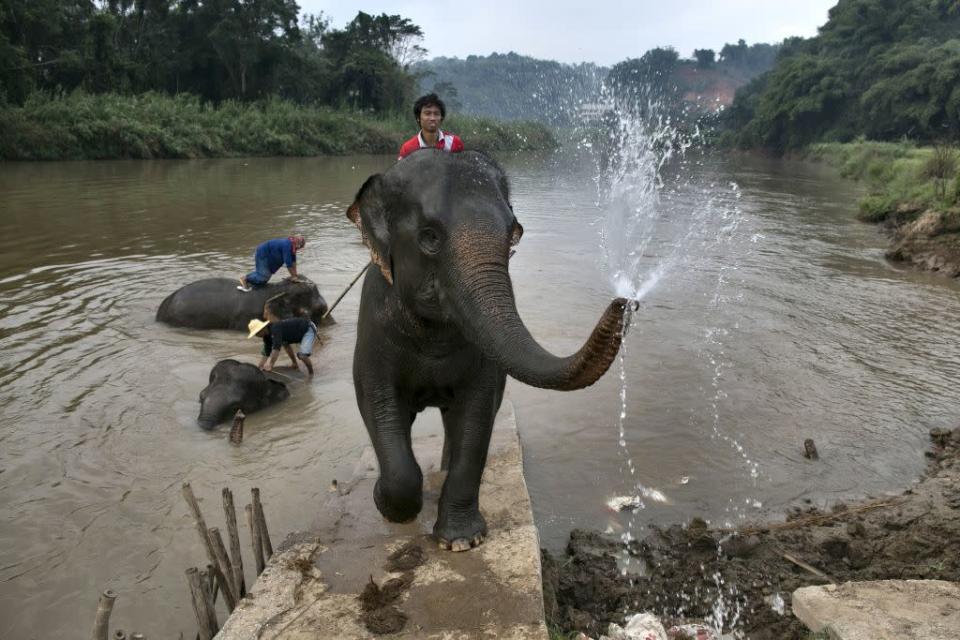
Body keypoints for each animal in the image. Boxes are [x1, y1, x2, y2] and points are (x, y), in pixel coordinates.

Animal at [346, 149, 632, 552]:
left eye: (513, 236)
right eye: (429, 237)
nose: (625, 302)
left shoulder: (483, 364)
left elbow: (478, 413)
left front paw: (462, 542)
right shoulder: (374, 328)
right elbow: (378, 402)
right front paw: (385, 504)